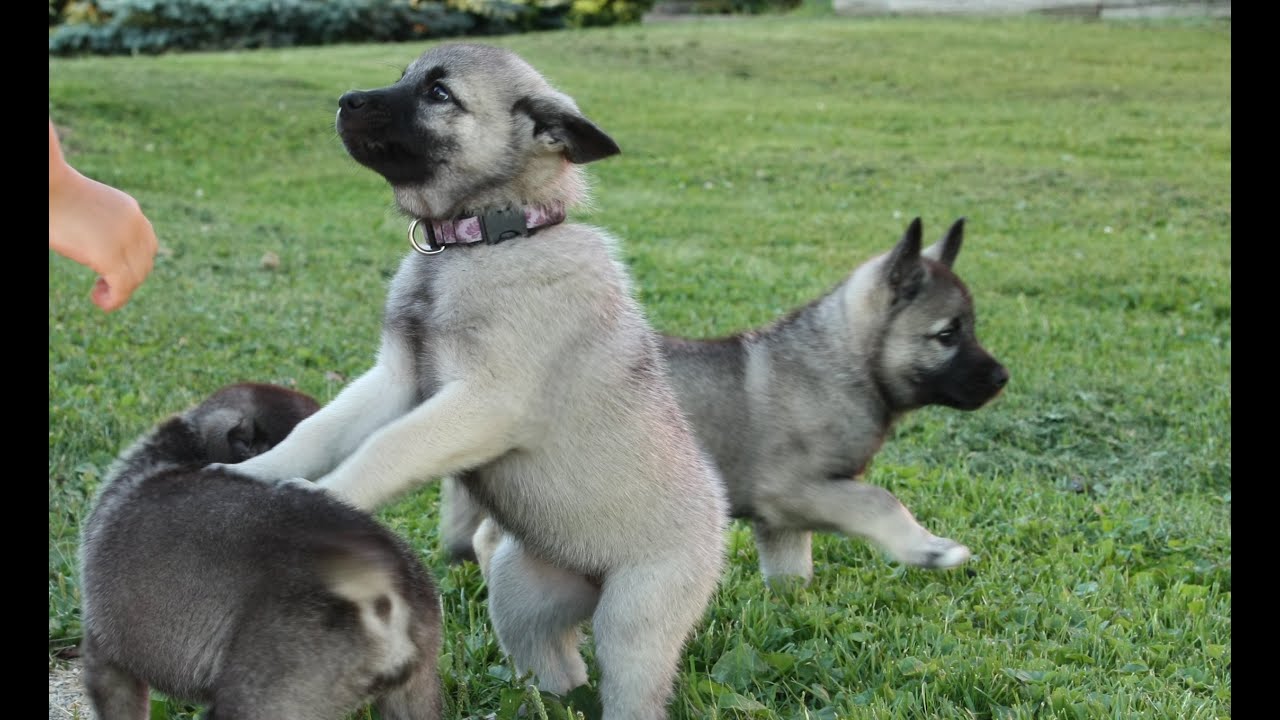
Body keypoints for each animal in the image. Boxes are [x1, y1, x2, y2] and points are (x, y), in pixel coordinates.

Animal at [215, 44, 727, 717]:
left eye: (439, 94)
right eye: (405, 77)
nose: (346, 99)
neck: (481, 240)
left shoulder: (482, 404)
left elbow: (388, 447)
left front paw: (324, 496)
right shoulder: (396, 380)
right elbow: (319, 431)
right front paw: (254, 472)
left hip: (636, 618)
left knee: (629, 684)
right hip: (521, 591)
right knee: (556, 664)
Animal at [450, 213, 1008, 584]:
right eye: (948, 335)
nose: (1002, 378)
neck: (847, 361)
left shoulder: (782, 521)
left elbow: (791, 573)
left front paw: (791, 609)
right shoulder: (796, 490)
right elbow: (882, 502)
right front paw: (930, 550)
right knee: (495, 537)